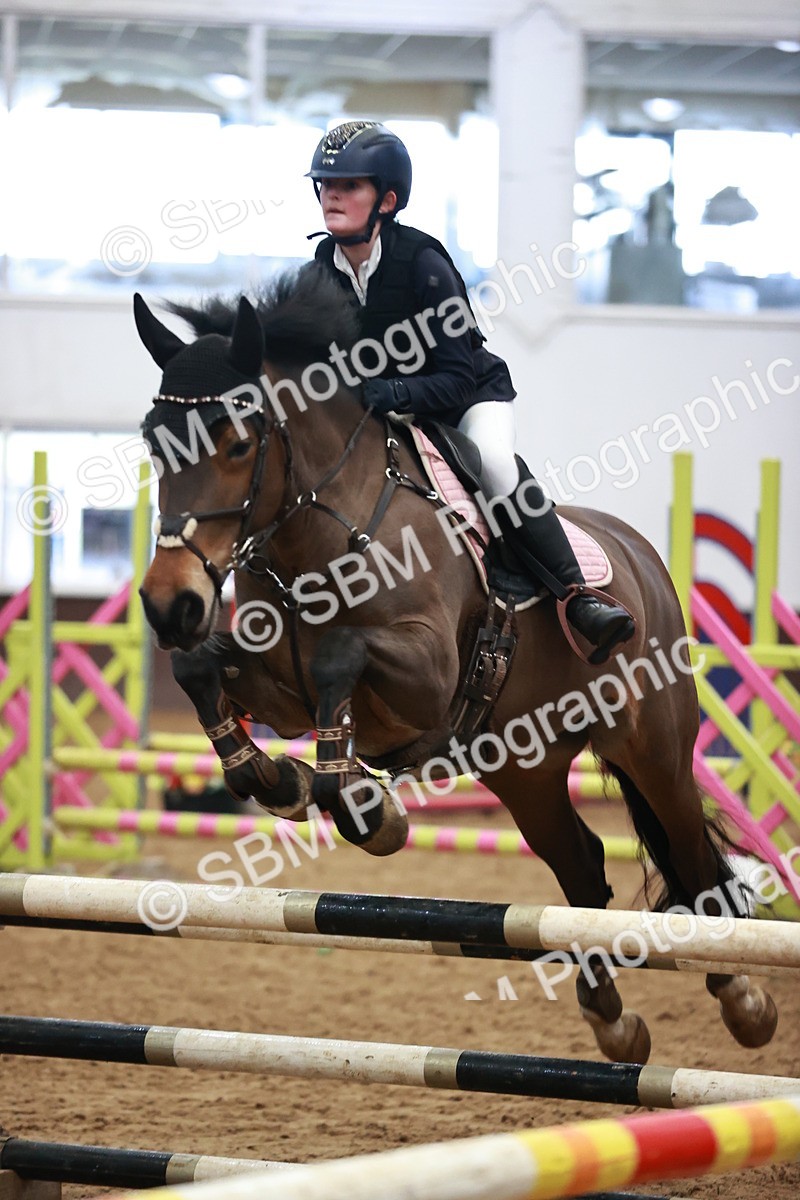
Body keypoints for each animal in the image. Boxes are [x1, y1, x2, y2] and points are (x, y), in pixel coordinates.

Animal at [133, 267, 777, 1065]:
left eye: (235, 442)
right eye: (151, 442)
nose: (170, 604)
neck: (318, 532)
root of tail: (640, 555)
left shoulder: (427, 675)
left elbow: (341, 656)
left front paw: (358, 802)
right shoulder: (278, 685)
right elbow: (201, 670)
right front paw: (278, 778)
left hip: (653, 746)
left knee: (688, 855)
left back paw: (744, 1000)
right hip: (524, 768)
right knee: (583, 868)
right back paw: (611, 1019)